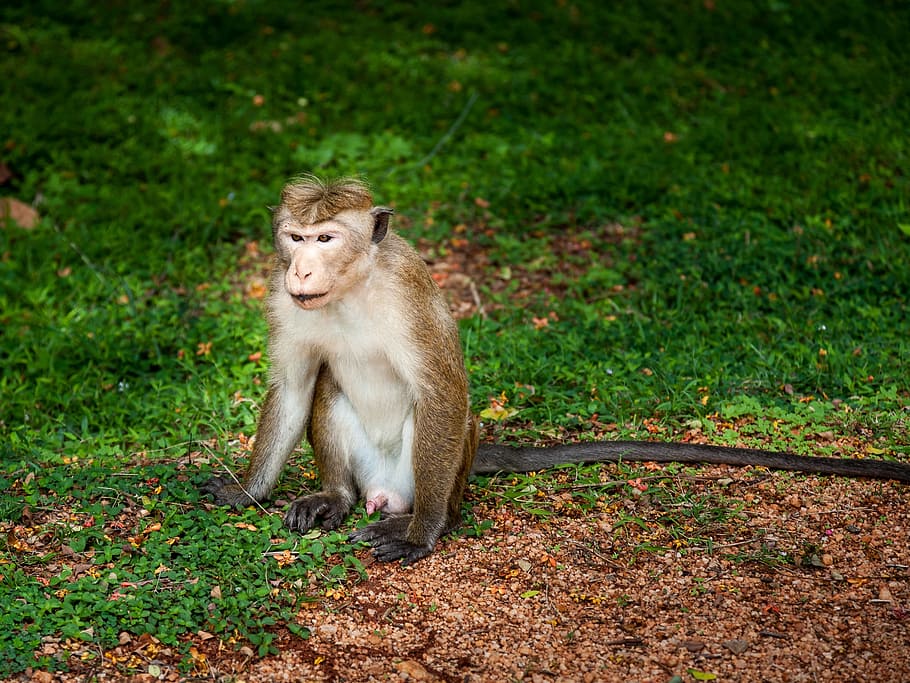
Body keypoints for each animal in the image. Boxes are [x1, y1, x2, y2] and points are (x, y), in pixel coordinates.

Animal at [202, 176, 910, 565]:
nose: (302, 269)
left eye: (327, 238)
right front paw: (247, 491)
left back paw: (422, 516)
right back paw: (338, 498)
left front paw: (423, 536)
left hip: (434, 473)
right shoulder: (281, 299)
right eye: (296, 238)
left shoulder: (408, 295)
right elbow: (294, 384)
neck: (352, 287)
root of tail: (386, 490)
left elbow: (443, 394)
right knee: (327, 387)